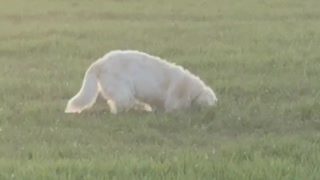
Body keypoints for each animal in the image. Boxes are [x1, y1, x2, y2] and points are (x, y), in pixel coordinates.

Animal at [64, 50, 218, 114]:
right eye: (210, 102)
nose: (214, 110)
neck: (191, 89)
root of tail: (99, 63)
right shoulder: (174, 99)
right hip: (123, 90)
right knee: (118, 105)